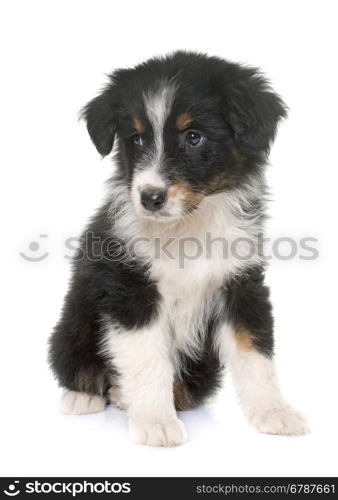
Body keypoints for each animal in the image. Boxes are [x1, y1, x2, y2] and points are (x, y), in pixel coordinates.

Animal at [48, 52, 310, 448]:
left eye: (194, 137)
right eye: (136, 139)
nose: (149, 197)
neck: (188, 228)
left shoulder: (241, 282)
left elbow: (254, 350)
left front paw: (274, 412)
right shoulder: (131, 288)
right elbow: (147, 358)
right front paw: (155, 423)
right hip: (72, 326)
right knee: (78, 367)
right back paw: (84, 397)